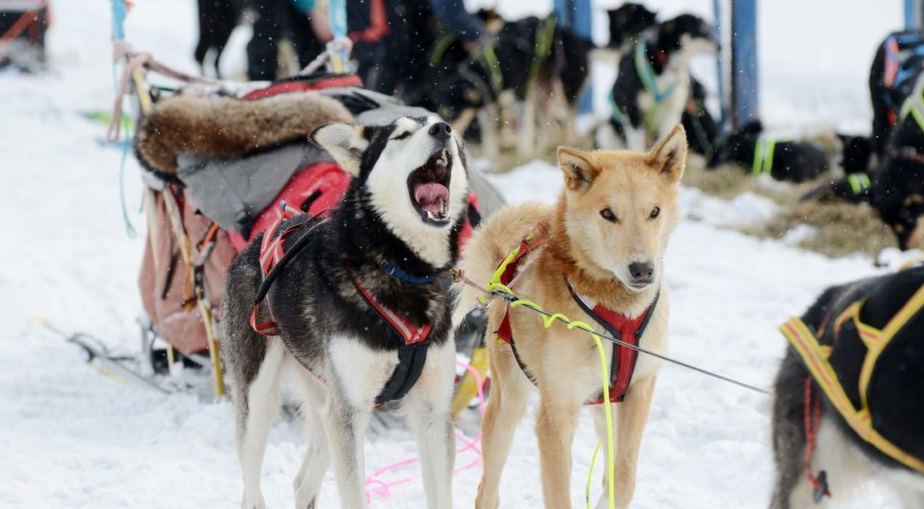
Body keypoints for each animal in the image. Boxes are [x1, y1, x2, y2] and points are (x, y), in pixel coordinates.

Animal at [218, 115, 470, 508]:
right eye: (400, 135)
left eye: (441, 125)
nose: (442, 129)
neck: (401, 269)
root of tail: (260, 238)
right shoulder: (350, 413)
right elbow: (354, 495)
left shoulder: (433, 414)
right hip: (261, 399)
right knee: (251, 485)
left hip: (325, 403)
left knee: (302, 482)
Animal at [454, 125, 684, 506]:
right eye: (608, 214)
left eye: (654, 211)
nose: (642, 269)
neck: (616, 309)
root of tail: (507, 272)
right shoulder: (557, 414)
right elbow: (560, 492)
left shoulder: (638, 392)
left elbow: (622, 479)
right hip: (508, 405)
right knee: (487, 490)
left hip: (605, 409)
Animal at [600, 12, 720, 150]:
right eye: (701, 30)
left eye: (708, 29)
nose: (720, 46)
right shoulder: (632, 111)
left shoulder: (672, 113)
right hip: (606, 132)